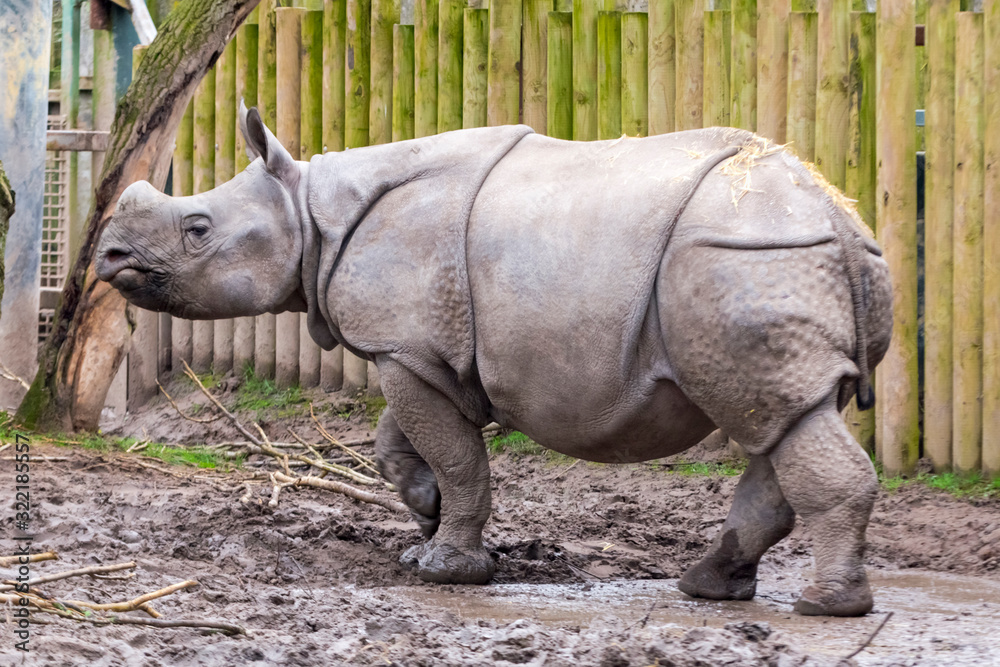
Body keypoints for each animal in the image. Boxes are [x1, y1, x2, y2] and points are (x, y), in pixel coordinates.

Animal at [97, 103, 892, 617]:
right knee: (787, 419)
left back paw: (825, 607)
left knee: (777, 417)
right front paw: (425, 517)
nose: (108, 256)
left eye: (198, 229)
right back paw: (709, 587)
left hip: (745, 257)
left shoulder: (404, 346)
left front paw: (446, 570)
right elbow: (401, 443)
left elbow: (455, 453)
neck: (310, 208)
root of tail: (840, 217)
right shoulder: (420, 348)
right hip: (772, 261)